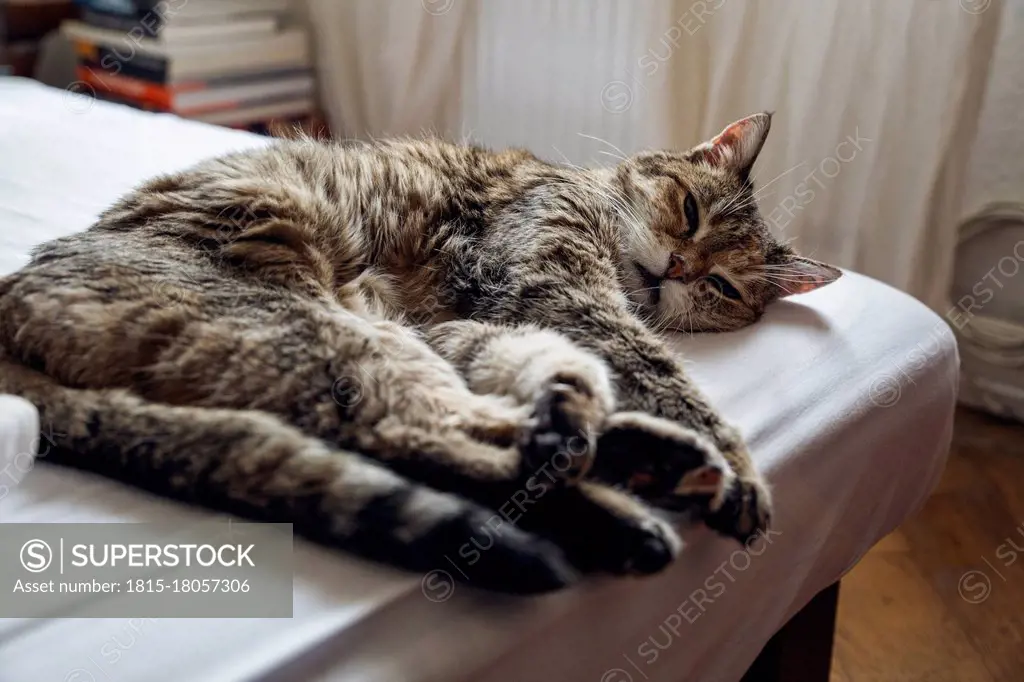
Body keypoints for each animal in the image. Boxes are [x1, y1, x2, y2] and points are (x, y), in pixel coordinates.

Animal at [0, 111, 839, 589]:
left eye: (724, 287)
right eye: (690, 209)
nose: (681, 270)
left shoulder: (479, 322)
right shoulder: (555, 287)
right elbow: (667, 376)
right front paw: (743, 467)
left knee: (463, 442)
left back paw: (631, 474)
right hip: (316, 337)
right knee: (416, 434)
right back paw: (640, 492)